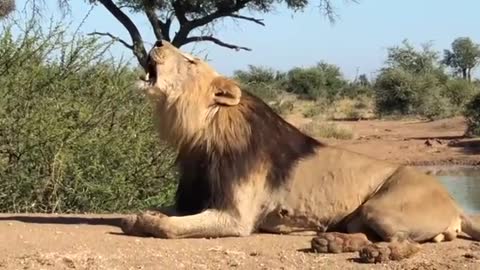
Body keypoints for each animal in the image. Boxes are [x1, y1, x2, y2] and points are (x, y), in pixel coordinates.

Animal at [121, 40, 480, 264]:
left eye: (191, 61)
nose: (158, 41)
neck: (200, 131)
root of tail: (455, 203)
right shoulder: (194, 199)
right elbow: (166, 212)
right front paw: (137, 214)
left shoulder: (236, 217)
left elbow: (170, 227)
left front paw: (146, 220)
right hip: (361, 217)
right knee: (365, 235)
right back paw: (331, 243)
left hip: (383, 208)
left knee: (405, 243)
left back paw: (377, 255)